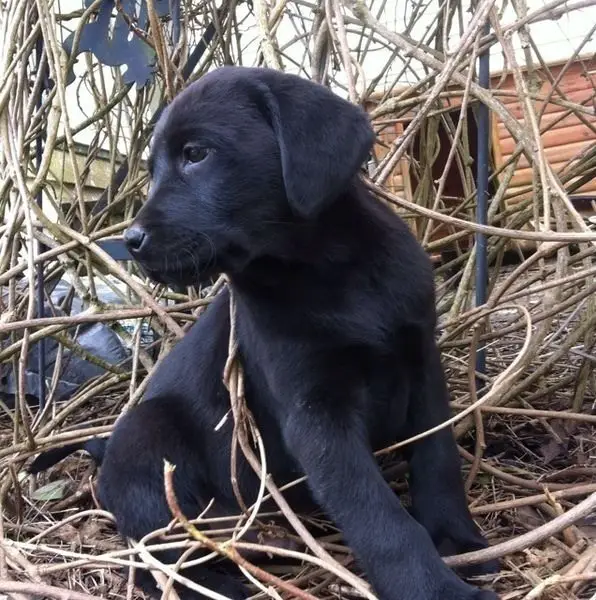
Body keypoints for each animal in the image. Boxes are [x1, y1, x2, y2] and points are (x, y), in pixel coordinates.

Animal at [31, 67, 498, 600]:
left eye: (196, 153)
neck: (327, 272)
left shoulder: (422, 364)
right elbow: (378, 516)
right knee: (157, 562)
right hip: (145, 435)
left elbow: (438, 462)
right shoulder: (315, 414)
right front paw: (433, 588)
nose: (131, 241)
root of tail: (104, 448)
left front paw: (458, 540)